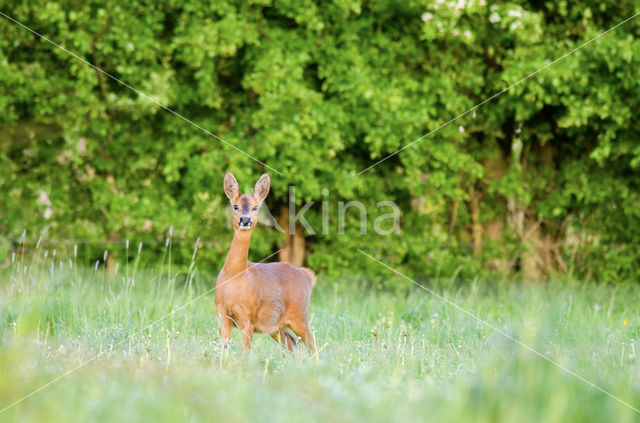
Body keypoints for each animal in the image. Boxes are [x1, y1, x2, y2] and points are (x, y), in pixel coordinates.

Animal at [216, 171, 316, 352]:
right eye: (235, 206)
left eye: (255, 207)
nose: (245, 220)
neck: (234, 276)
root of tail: (308, 276)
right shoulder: (222, 315)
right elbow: (223, 351)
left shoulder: (248, 318)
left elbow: (244, 352)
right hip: (276, 328)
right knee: (295, 346)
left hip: (299, 315)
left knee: (314, 345)